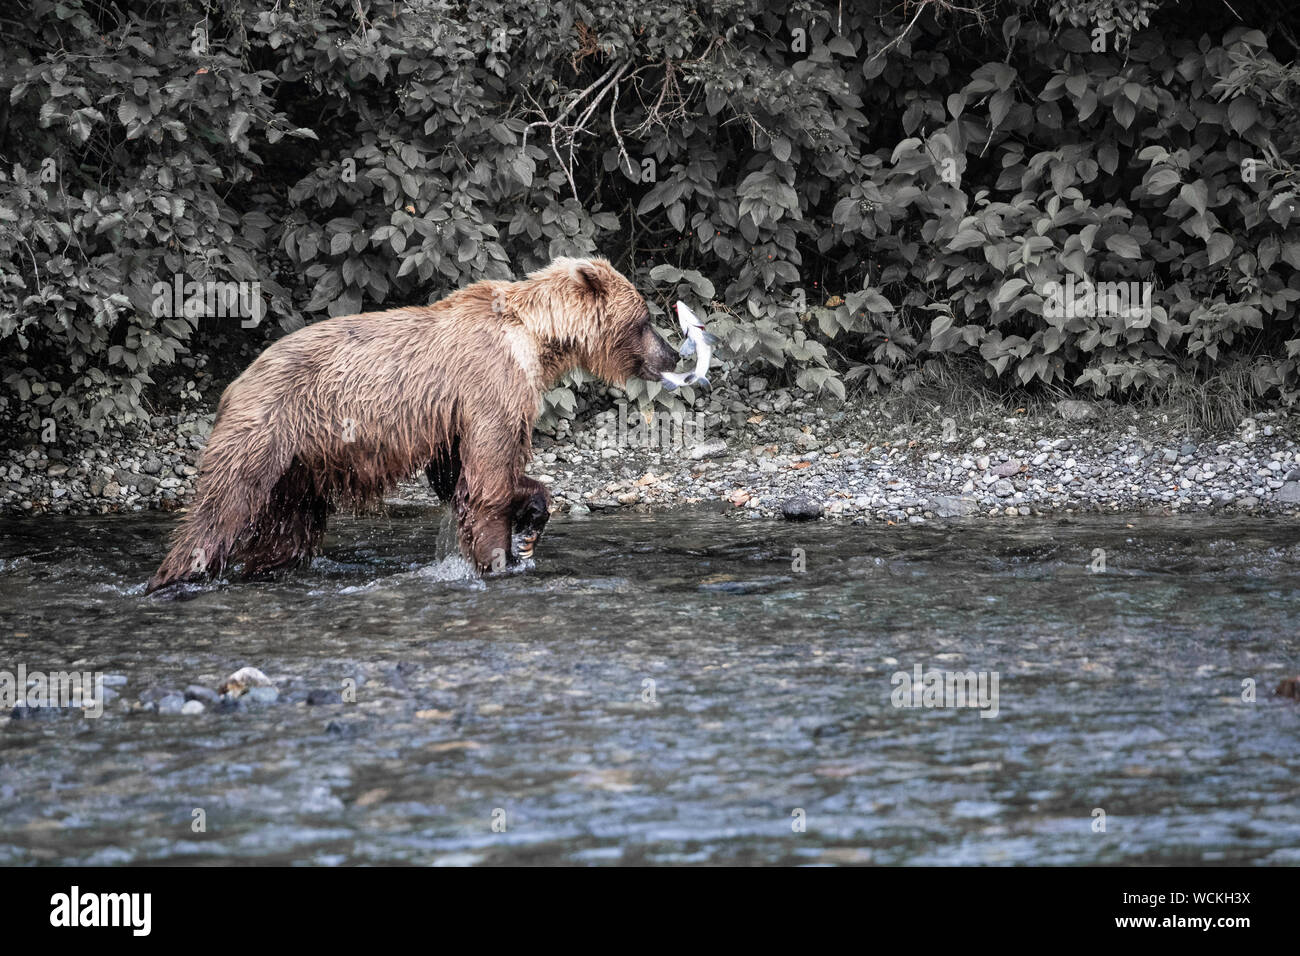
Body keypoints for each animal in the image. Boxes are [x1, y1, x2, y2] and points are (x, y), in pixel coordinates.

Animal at [146, 257, 676, 595]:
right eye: (646, 319)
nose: (672, 353)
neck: (538, 340)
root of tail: (235, 383)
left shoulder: (457, 415)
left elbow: (458, 476)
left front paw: (530, 519)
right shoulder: (492, 382)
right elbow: (487, 479)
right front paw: (499, 558)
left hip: (298, 467)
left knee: (288, 532)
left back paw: (266, 571)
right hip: (268, 427)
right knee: (221, 509)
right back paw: (170, 580)